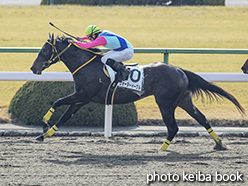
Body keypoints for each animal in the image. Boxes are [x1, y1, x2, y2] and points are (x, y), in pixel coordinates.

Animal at [30, 34, 244, 151]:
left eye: (44, 50)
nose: (33, 68)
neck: (87, 66)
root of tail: (179, 69)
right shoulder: (82, 99)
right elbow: (63, 117)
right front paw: (43, 135)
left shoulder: (83, 96)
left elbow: (57, 102)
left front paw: (43, 123)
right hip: (183, 100)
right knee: (202, 119)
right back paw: (219, 144)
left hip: (165, 104)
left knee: (173, 127)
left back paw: (161, 148)